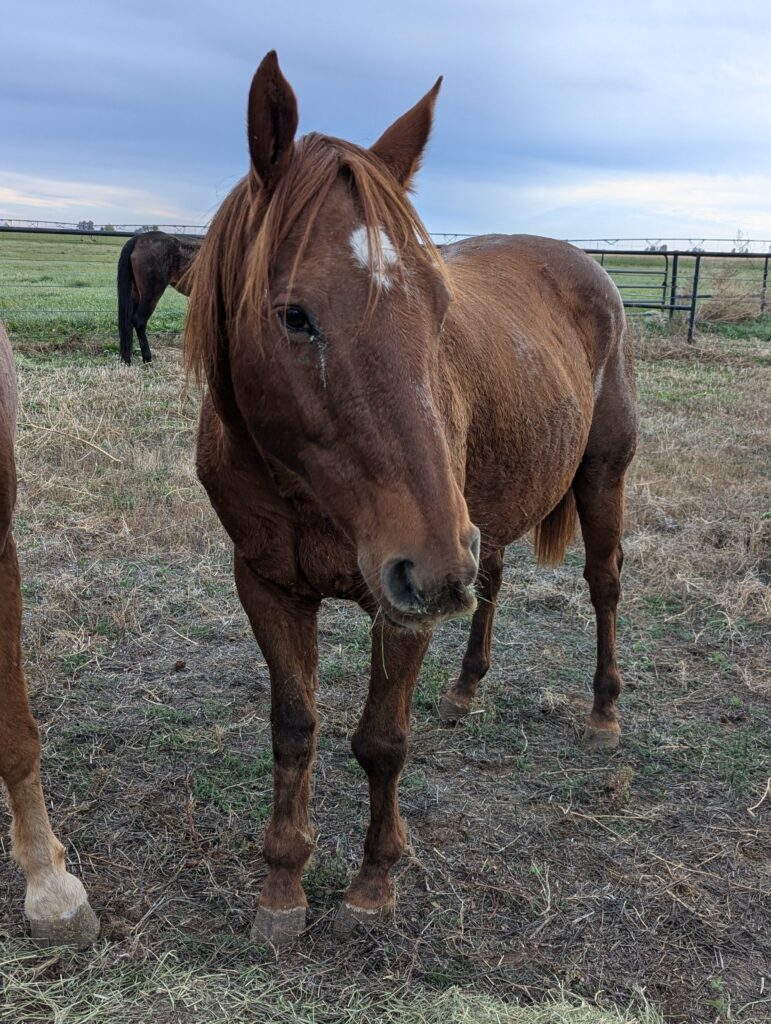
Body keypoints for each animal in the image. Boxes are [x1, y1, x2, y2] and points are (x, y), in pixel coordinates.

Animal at [184, 51, 637, 946]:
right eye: (294, 315)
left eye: (438, 309)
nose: (432, 566)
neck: (305, 490)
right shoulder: (266, 583)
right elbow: (294, 730)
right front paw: (282, 884)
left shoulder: (403, 599)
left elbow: (382, 741)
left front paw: (373, 881)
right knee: (490, 583)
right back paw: (464, 689)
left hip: (589, 484)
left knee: (602, 585)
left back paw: (602, 711)